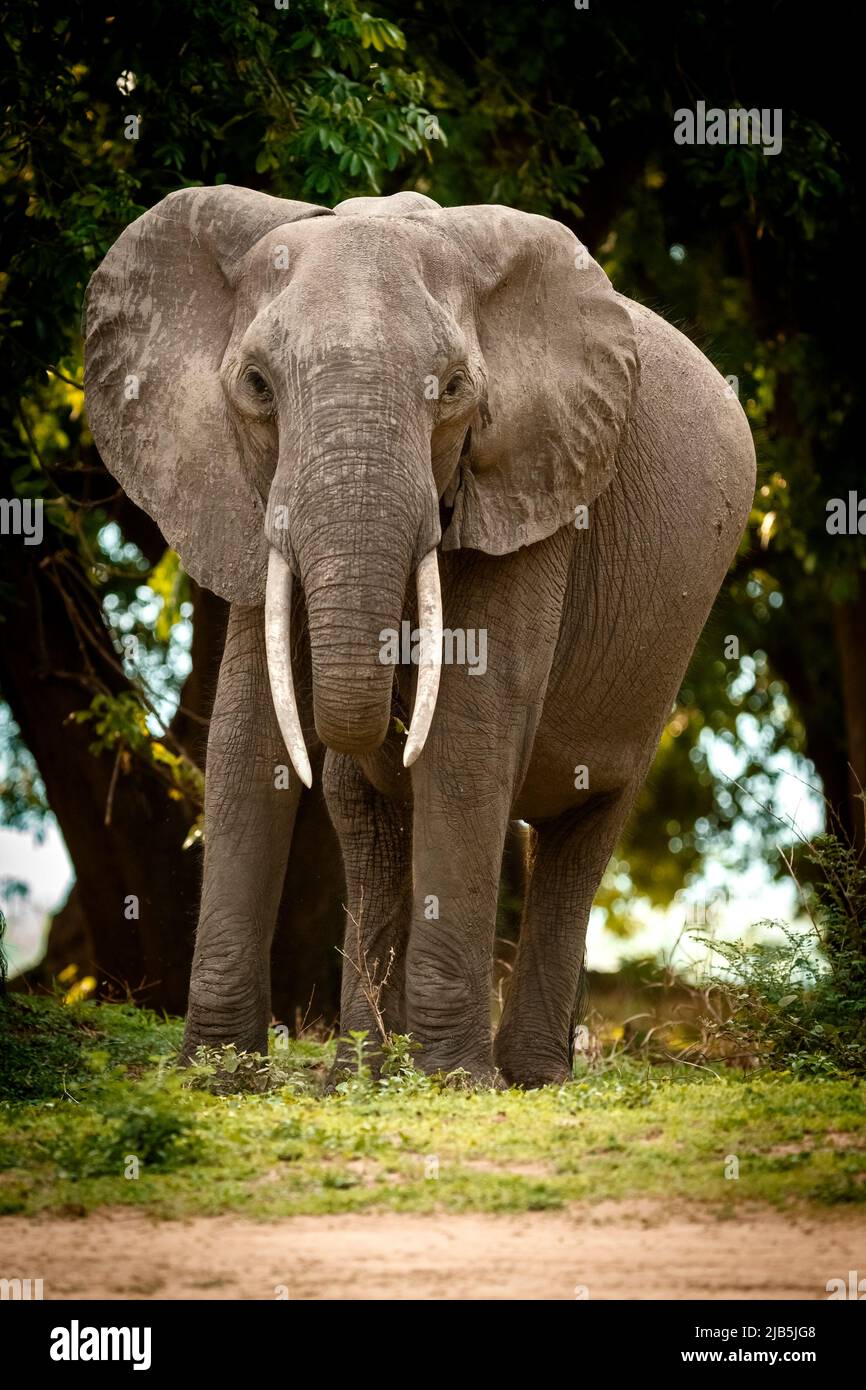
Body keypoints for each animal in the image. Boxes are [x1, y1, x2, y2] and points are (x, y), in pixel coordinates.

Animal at [84, 182, 756, 1084]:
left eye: (455, 387)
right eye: (256, 385)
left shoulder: (534, 487)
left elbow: (467, 731)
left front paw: (454, 1083)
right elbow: (245, 731)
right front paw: (217, 1076)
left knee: (584, 830)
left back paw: (529, 1076)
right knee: (368, 819)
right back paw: (362, 1072)